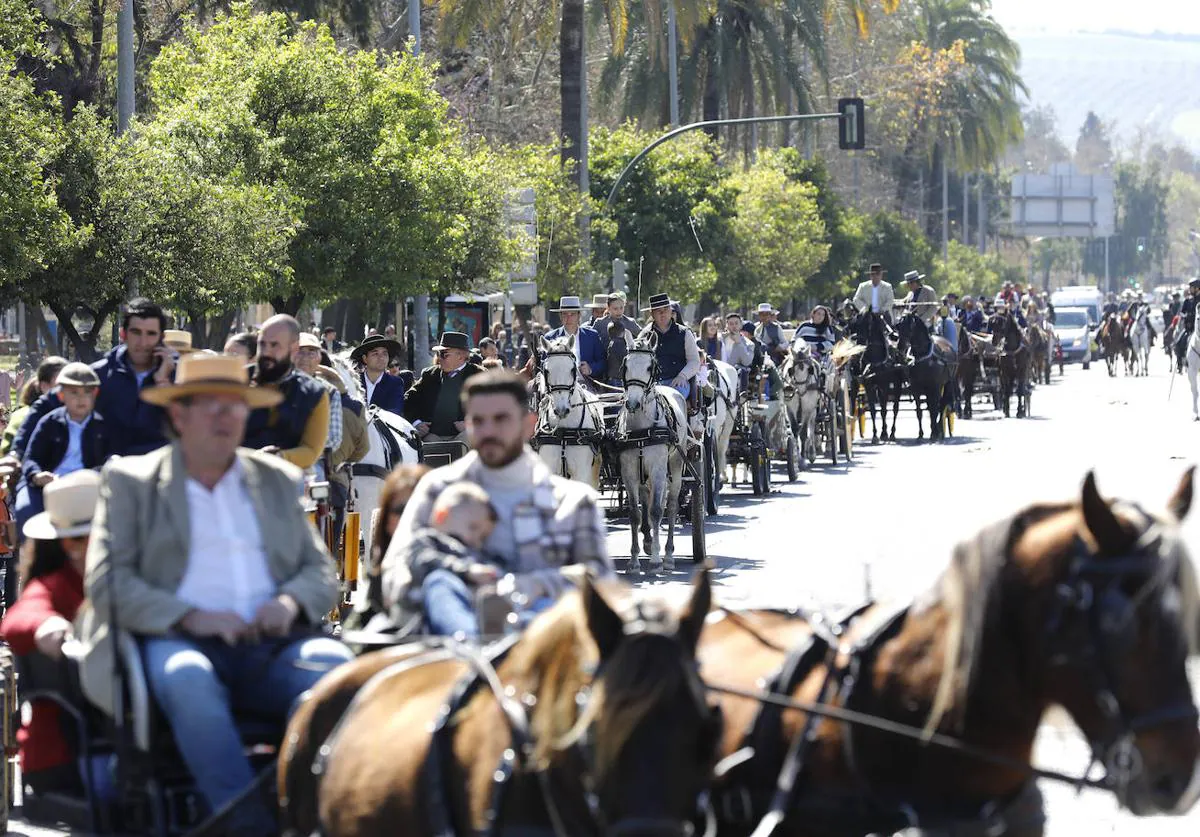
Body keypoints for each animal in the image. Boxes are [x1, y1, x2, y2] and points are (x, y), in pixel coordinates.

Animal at [619, 335, 686, 570]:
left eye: (650, 367)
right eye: (626, 365)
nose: (632, 403)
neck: (642, 427)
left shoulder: (658, 468)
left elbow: (657, 511)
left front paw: (657, 559)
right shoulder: (628, 470)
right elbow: (634, 513)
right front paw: (633, 560)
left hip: (675, 465)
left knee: (672, 506)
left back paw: (668, 554)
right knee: (646, 501)